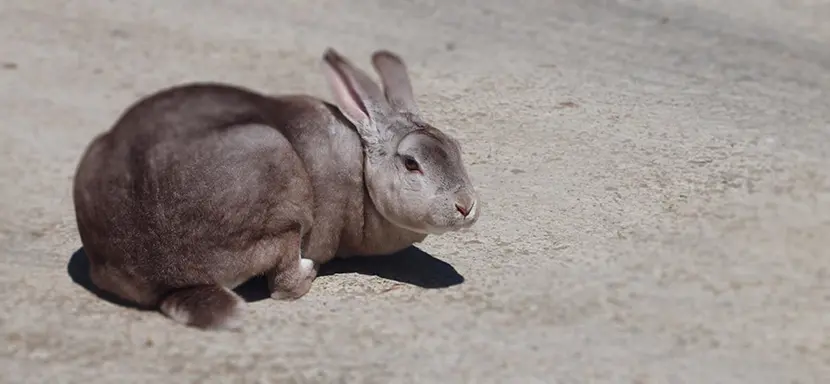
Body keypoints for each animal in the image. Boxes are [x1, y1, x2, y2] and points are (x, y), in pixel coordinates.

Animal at [75, 48, 484, 330]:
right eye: (411, 163)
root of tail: (167, 278)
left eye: (456, 148)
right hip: (280, 192)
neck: (361, 169)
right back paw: (309, 270)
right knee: (284, 282)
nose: (466, 207)